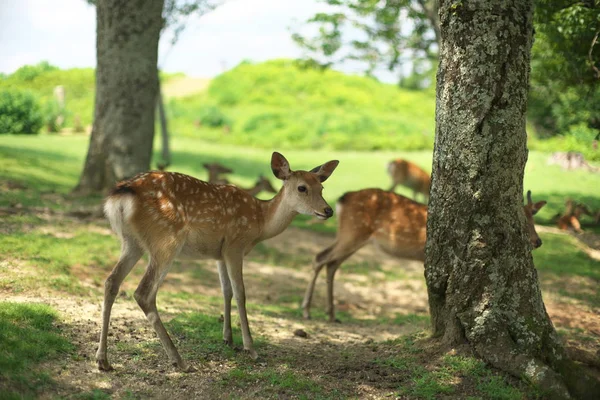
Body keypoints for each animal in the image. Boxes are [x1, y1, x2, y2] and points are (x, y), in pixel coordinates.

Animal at [97, 153, 338, 372]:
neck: (260, 223)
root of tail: (121, 195)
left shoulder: (219, 254)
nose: (328, 210)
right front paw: (251, 349)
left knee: (111, 282)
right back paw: (180, 361)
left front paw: (228, 340)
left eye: (322, 188)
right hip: (166, 240)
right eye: (302, 188)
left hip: (131, 242)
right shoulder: (235, 245)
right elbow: (240, 293)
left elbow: (226, 291)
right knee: (143, 292)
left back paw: (103, 360)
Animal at [302, 189, 548, 324]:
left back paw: (331, 314)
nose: (537, 241)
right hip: (353, 231)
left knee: (331, 263)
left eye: (533, 215)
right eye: (519, 218)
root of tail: (342, 199)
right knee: (320, 258)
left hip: (353, 235)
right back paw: (306, 311)